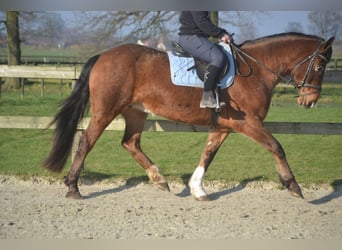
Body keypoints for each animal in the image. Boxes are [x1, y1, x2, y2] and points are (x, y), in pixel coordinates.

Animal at [42, 33, 334, 201]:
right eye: (320, 66)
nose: (309, 101)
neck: (254, 70)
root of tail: (103, 55)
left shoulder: (225, 125)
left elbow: (208, 153)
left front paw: (198, 189)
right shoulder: (248, 122)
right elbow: (277, 146)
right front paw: (293, 185)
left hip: (135, 112)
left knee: (130, 143)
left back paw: (159, 179)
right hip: (106, 111)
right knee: (86, 142)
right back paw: (73, 188)